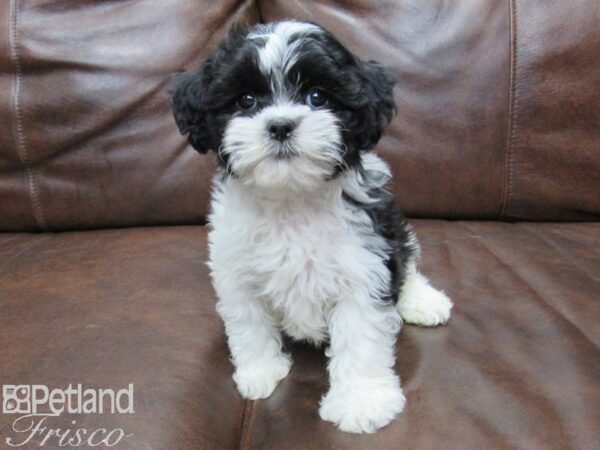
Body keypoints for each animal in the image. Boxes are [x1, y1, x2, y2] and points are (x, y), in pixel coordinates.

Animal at [171, 20, 452, 432]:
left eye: (317, 97)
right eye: (246, 101)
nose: (280, 126)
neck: (291, 197)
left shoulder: (363, 265)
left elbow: (360, 339)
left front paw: (361, 402)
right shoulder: (236, 269)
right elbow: (248, 323)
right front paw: (260, 371)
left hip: (390, 227)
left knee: (407, 258)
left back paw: (422, 300)